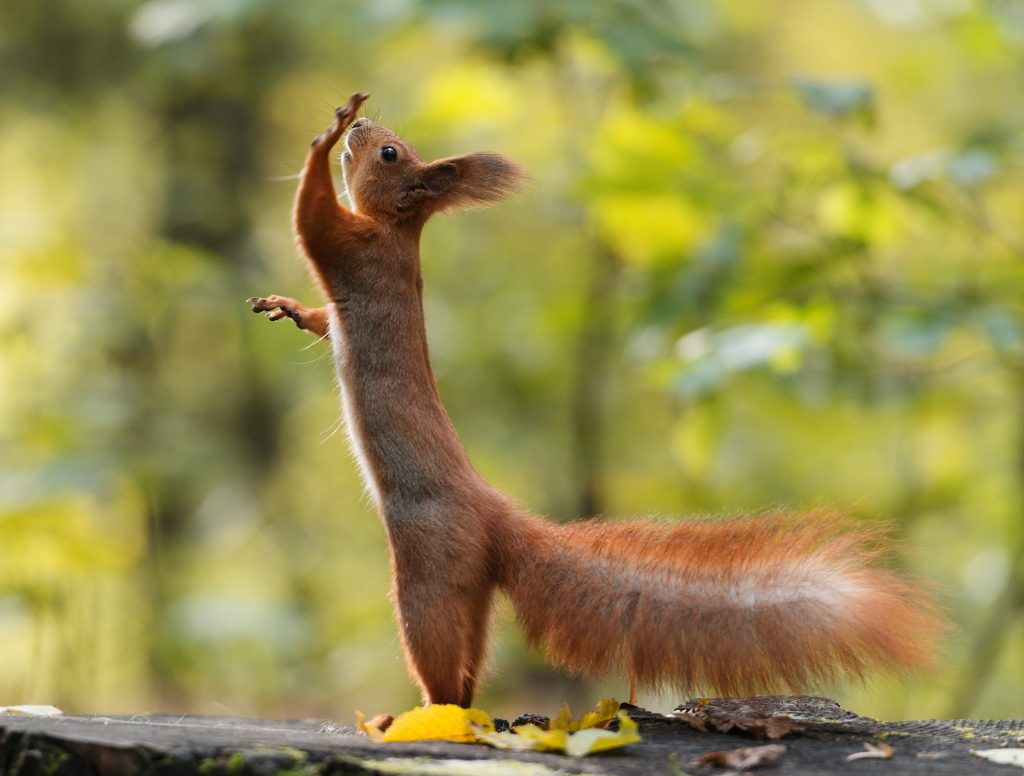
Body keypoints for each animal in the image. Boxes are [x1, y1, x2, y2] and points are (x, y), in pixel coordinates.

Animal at [249, 92, 942, 712]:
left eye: (389, 153)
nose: (361, 127)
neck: (397, 230)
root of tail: (495, 516)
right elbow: (322, 312)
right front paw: (289, 308)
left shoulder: (355, 250)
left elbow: (310, 219)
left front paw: (323, 140)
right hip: (469, 592)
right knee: (469, 669)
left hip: (429, 576)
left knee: (441, 664)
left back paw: (421, 715)